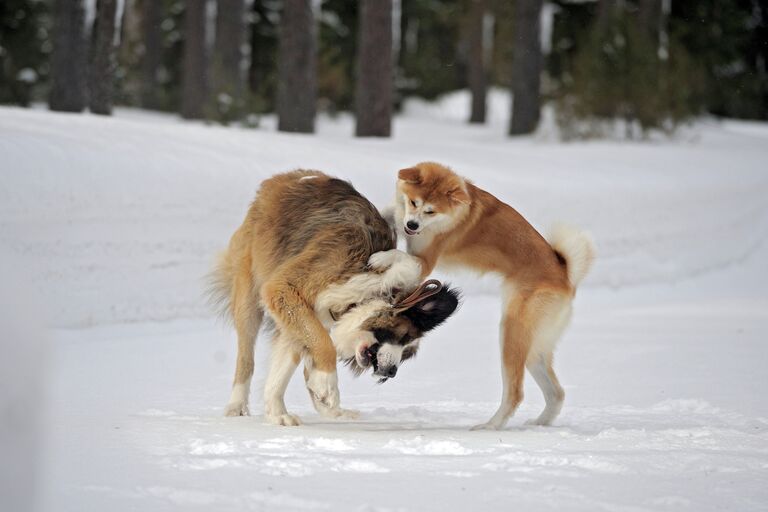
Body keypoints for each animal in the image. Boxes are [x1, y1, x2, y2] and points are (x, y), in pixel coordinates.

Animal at [210, 170, 460, 426]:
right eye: (404, 336)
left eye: (408, 353)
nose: (391, 373)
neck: (368, 290)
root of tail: (283, 178)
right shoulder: (287, 289)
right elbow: (324, 343)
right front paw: (326, 385)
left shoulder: (299, 314)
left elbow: (284, 367)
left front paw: (278, 414)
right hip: (249, 290)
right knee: (245, 356)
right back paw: (237, 406)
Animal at [396, 162, 592, 430]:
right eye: (414, 202)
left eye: (430, 211)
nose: (412, 226)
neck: (454, 216)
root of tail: (564, 275)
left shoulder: (425, 260)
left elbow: (398, 256)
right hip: (534, 350)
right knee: (557, 393)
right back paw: (539, 423)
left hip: (510, 334)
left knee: (515, 393)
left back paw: (490, 426)